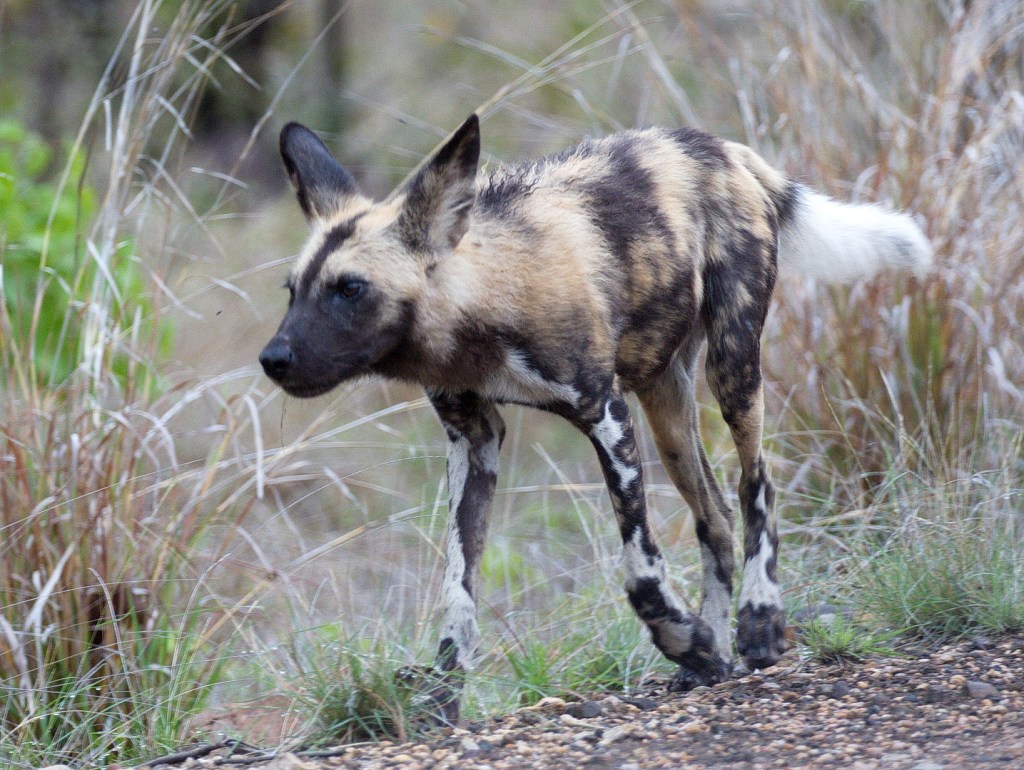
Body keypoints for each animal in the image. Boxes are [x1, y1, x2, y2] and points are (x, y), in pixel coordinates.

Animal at [259, 113, 931, 721]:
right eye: (292, 291)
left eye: (350, 289)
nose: (273, 359)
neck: (481, 305)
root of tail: (720, 147)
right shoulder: (474, 439)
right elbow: (458, 587)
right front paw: (443, 693)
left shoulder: (604, 413)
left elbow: (641, 570)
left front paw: (684, 638)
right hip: (666, 405)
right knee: (713, 518)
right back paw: (712, 658)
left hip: (732, 368)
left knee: (755, 484)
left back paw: (758, 621)